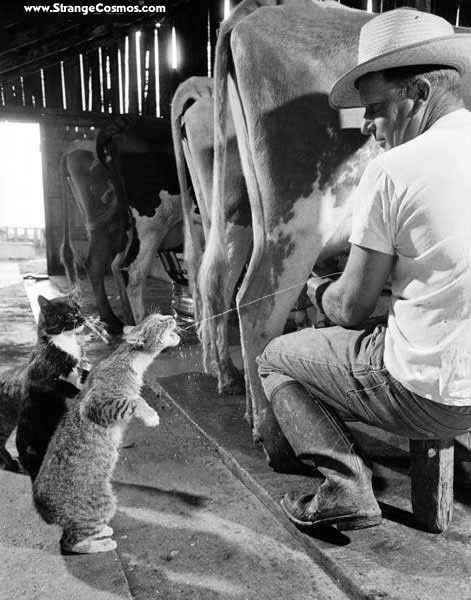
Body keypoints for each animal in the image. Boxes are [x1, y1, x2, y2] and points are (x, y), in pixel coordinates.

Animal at [0, 294, 90, 478]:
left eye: (79, 308)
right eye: (70, 314)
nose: (82, 318)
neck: (65, 343)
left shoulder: (78, 370)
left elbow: (82, 374)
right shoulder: (38, 378)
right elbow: (61, 384)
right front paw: (77, 392)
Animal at [31, 312, 179, 556]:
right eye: (159, 321)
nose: (172, 315)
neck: (128, 360)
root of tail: (41, 507)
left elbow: (137, 397)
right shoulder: (98, 404)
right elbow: (133, 400)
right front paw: (151, 416)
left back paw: (102, 532)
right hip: (103, 502)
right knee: (69, 542)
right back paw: (102, 542)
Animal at [195, 0, 388, 472]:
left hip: (244, 212)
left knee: (221, 282)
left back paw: (240, 398)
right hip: (299, 220)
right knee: (255, 301)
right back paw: (276, 440)